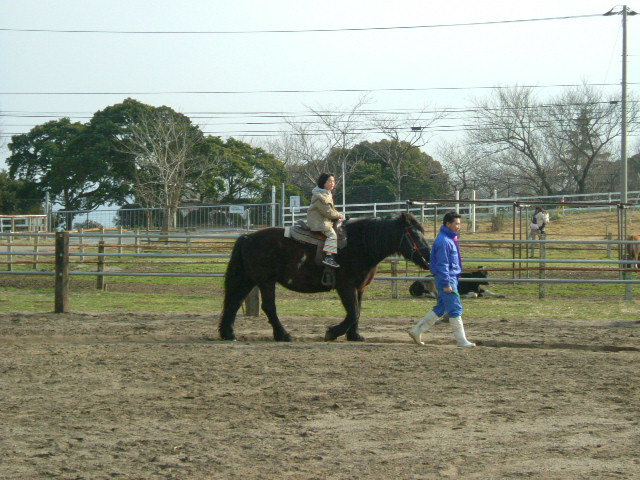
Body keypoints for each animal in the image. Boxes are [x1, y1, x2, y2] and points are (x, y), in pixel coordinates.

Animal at [219, 213, 430, 342]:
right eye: (414, 234)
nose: (428, 257)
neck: (361, 245)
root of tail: (248, 237)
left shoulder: (359, 287)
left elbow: (357, 311)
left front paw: (355, 335)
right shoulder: (345, 287)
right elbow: (353, 312)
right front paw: (332, 332)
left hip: (248, 280)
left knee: (234, 302)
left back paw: (228, 333)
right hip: (266, 281)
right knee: (268, 307)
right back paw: (283, 334)